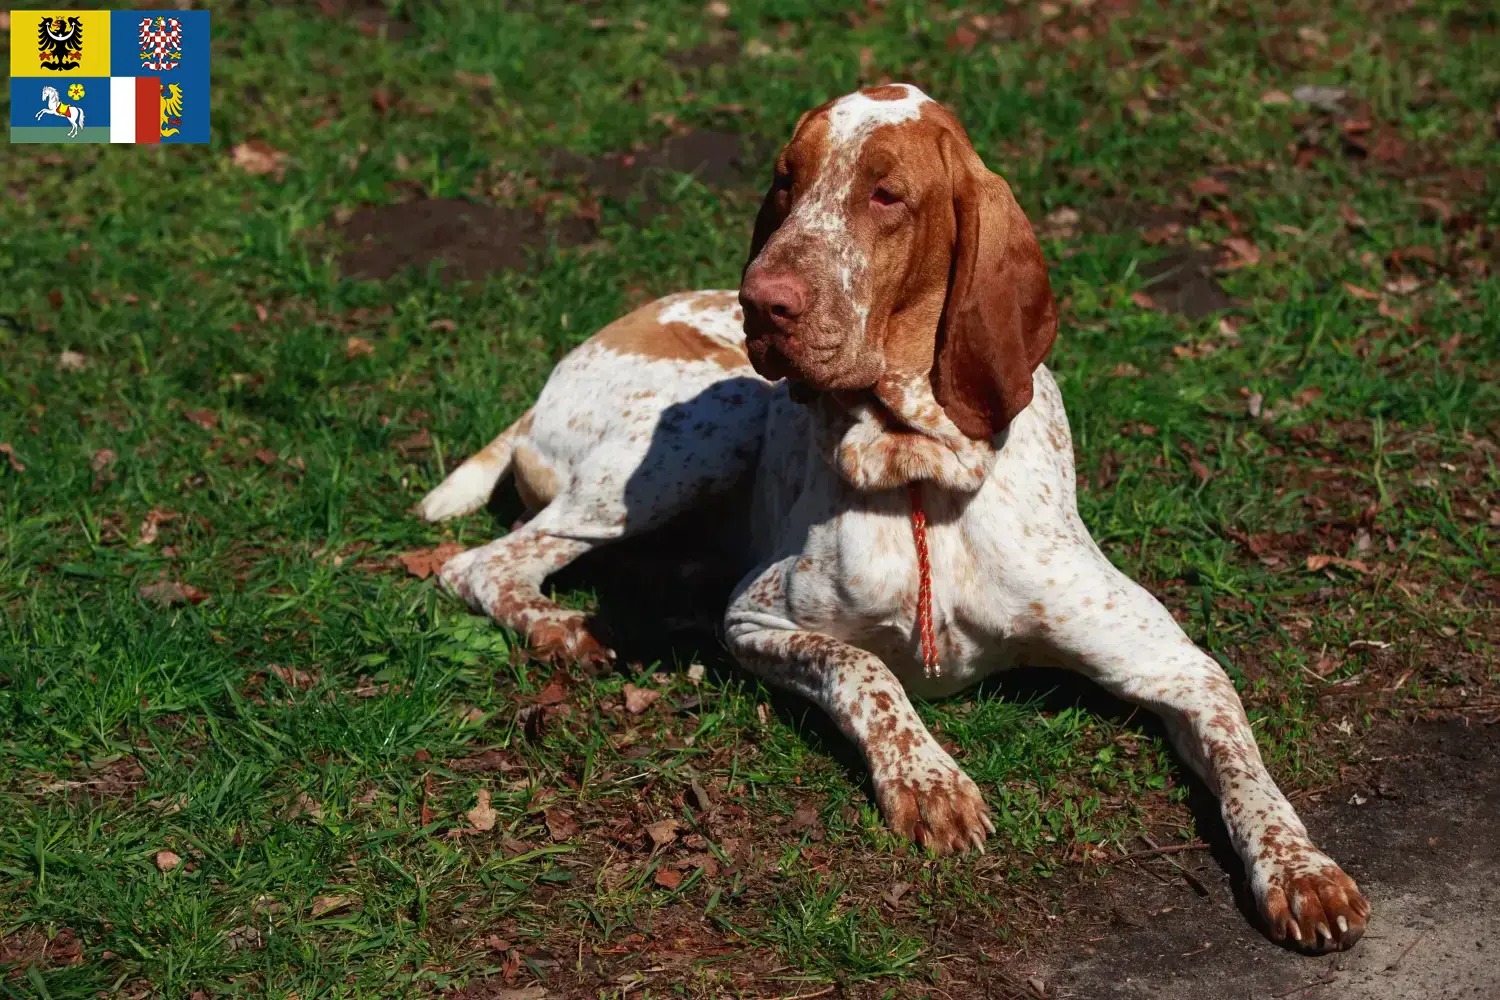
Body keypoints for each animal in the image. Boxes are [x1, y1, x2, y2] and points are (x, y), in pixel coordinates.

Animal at [420, 82, 1374, 953]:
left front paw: (1302, 870)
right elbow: (866, 672)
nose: (760, 303)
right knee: (480, 563)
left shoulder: (1175, 663)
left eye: (885, 195)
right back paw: (558, 629)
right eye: (786, 182)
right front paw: (931, 781)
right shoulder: (757, 617)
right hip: (694, 443)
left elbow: (1247, 770)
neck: (923, 471)